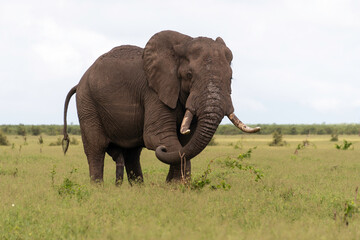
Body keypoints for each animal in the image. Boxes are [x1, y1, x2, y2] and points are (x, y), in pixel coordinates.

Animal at [61, 30, 258, 184]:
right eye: (189, 75)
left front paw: (174, 186)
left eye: (230, 77)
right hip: (87, 102)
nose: (161, 149)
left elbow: (185, 142)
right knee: (96, 147)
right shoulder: (153, 92)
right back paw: (98, 188)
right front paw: (179, 186)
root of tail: (79, 82)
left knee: (132, 153)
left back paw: (139, 189)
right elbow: (159, 136)